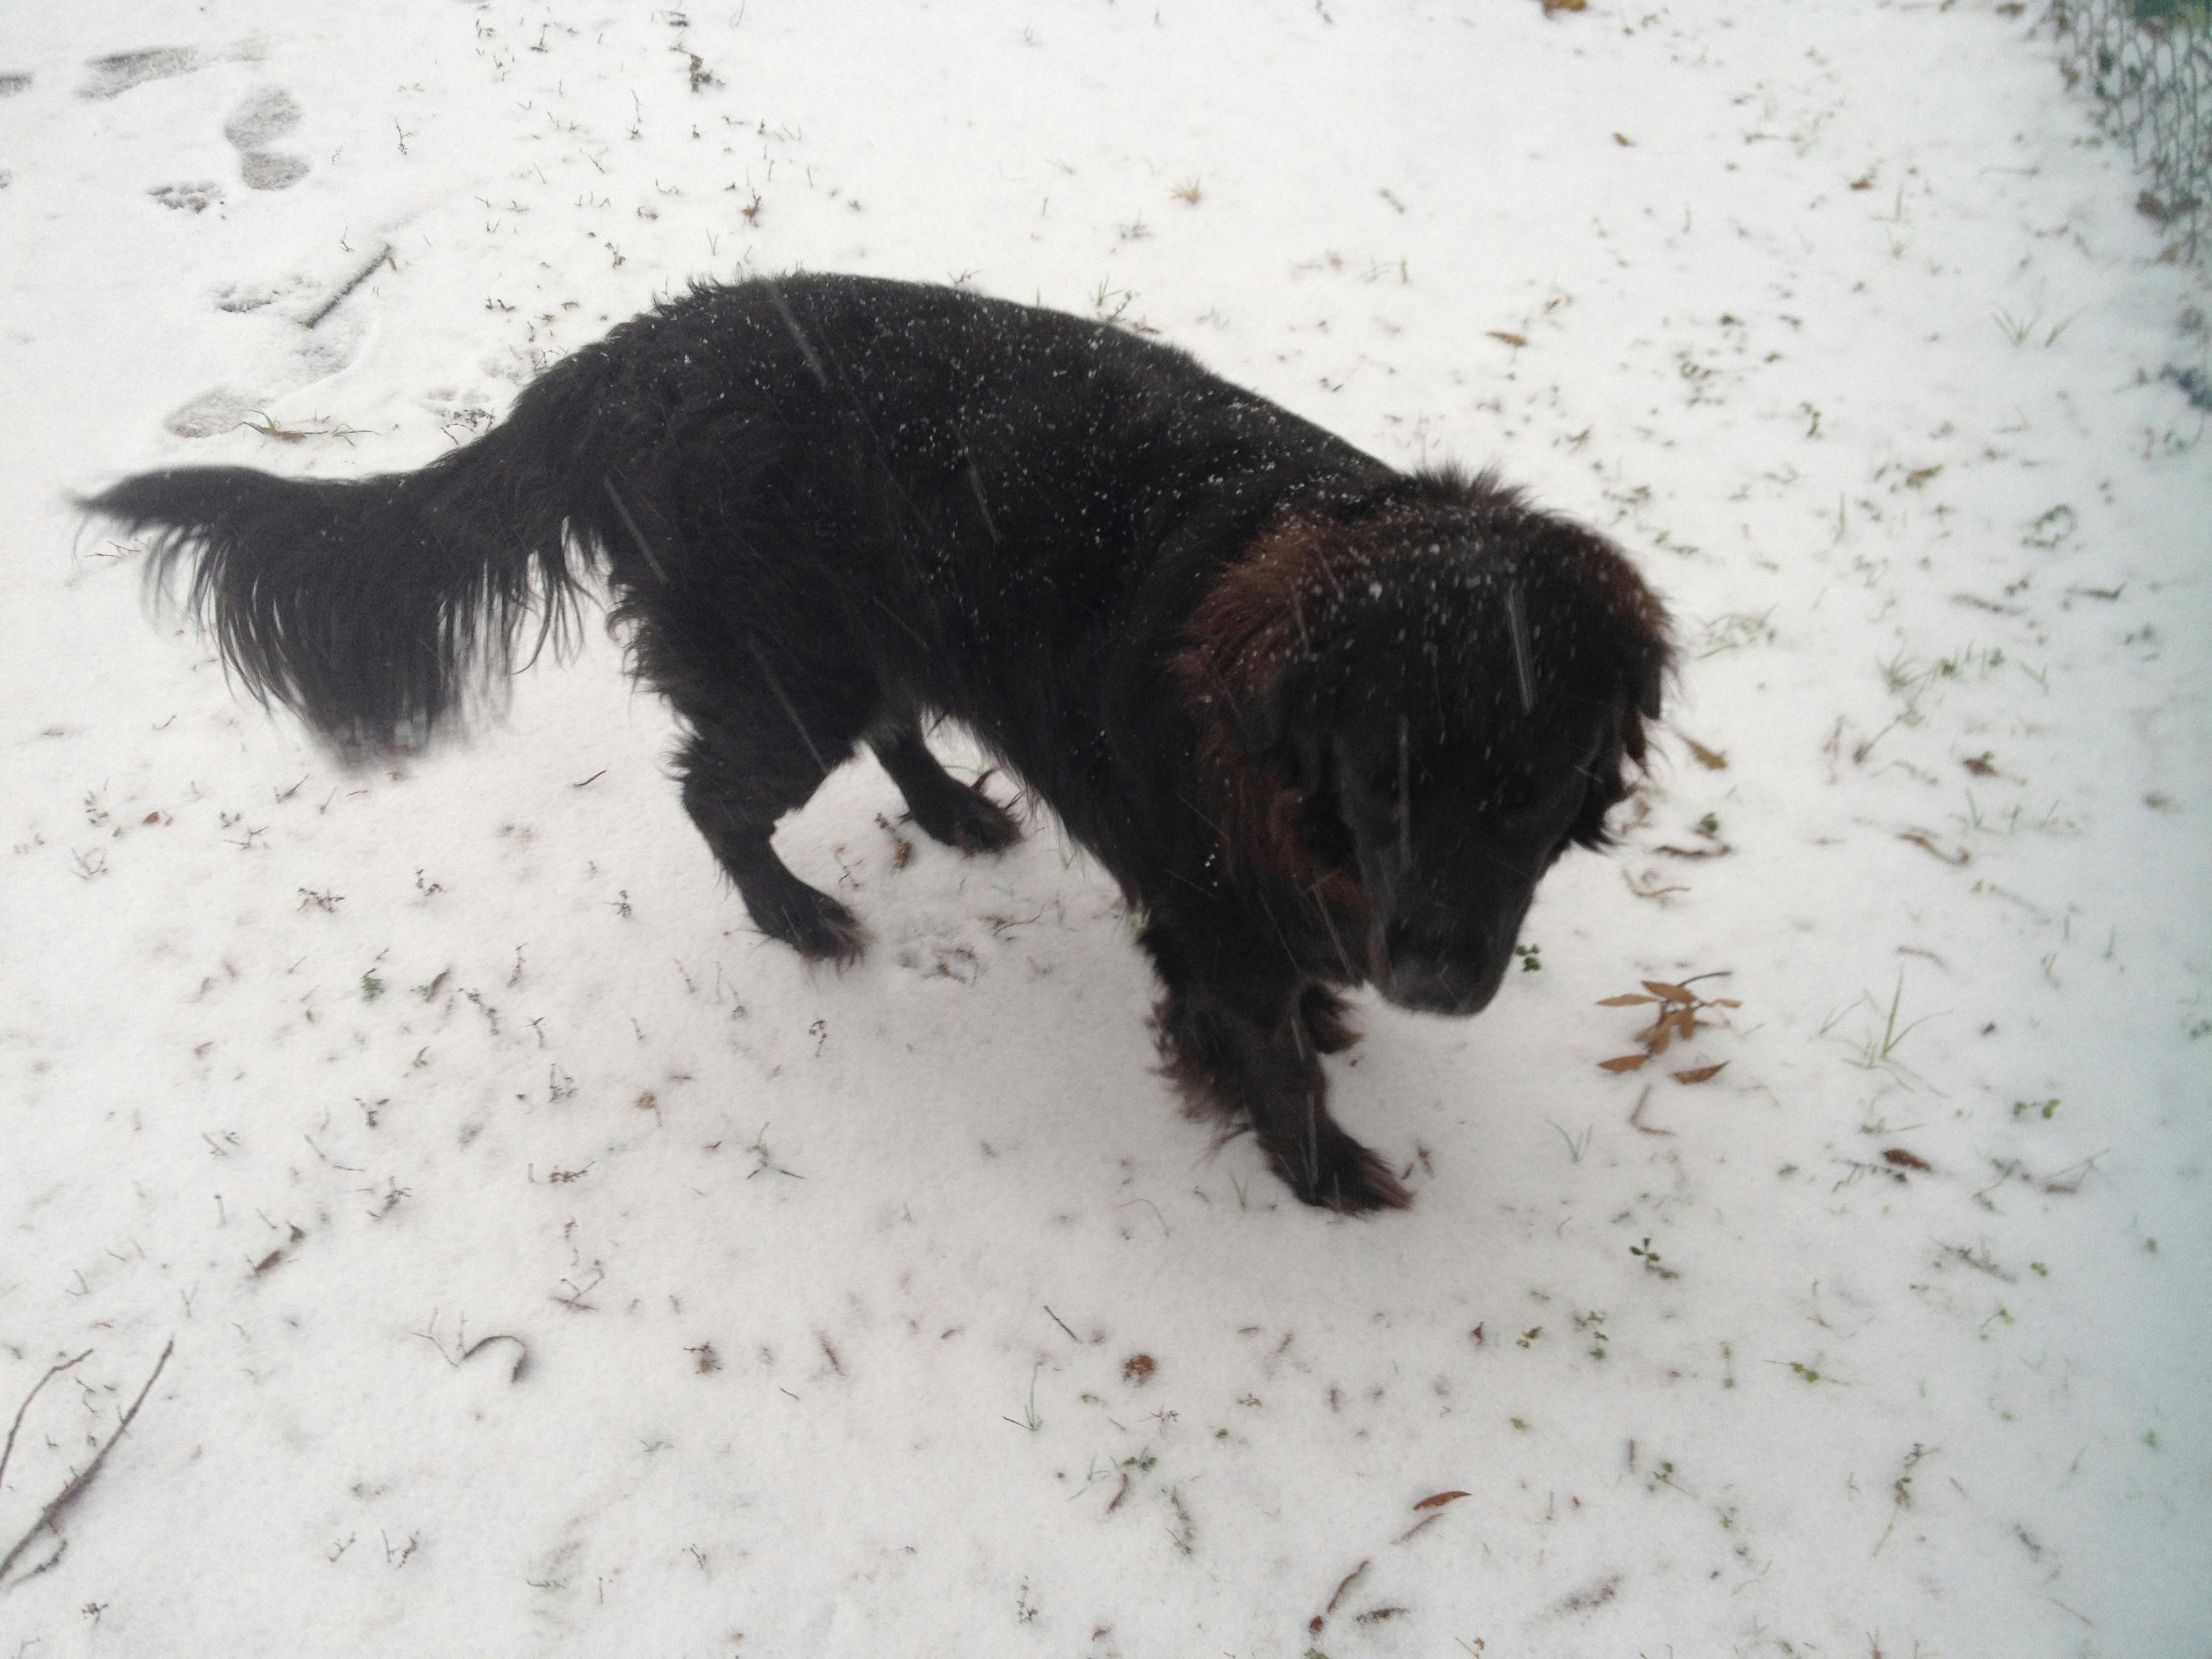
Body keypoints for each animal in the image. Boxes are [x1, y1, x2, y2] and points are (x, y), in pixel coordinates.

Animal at [90, 270, 1672, 1212]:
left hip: (866, 635)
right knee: (714, 799)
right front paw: (1322, 1167)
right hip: (785, 673)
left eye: (1537, 787)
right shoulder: (1218, 913)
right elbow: (1268, 1052)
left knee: (889, 731)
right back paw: (798, 915)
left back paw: (955, 815)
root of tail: (624, 357)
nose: (1437, 982)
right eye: (1380, 770)